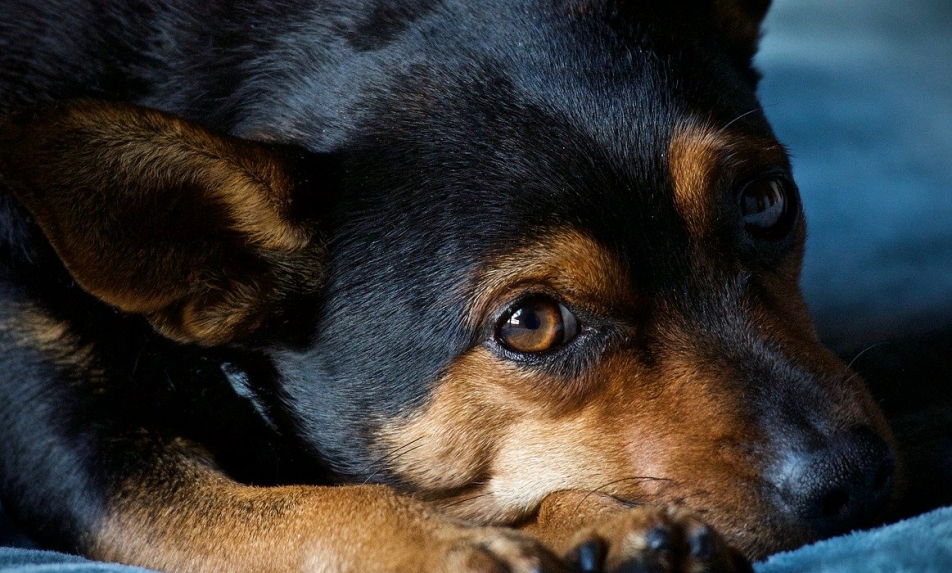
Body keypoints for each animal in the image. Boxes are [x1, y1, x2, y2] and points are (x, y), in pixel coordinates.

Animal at [0, 1, 900, 572]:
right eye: (531, 322)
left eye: (765, 203)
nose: (853, 475)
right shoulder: (76, 457)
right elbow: (308, 504)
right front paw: (449, 546)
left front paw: (601, 523)